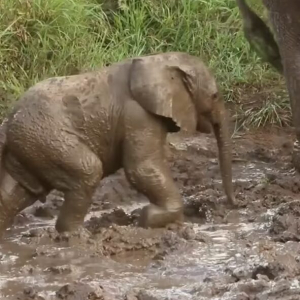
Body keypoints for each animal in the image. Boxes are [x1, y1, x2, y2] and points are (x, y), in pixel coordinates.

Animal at [0, 51, 236, 236]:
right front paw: (151, 219)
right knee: (88, 172)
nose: (233, 205)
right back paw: (77, 237)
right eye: (215, 96)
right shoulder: (138, 114)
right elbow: (141, 168)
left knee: (16, 193)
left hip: (30, 145)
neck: (159, 60)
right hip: (46, 137)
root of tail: (9, 120)